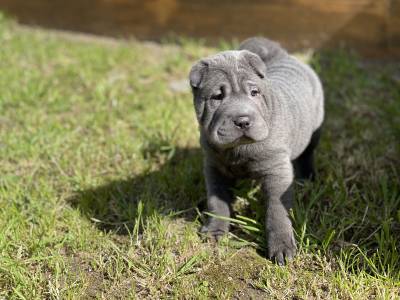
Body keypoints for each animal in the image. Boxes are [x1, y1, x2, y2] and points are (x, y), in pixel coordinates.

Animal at [189, 37, 324, 264]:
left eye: (254, 93)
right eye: (217, 97)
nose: (243, 121)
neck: (239, 149)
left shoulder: (277, 171)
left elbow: (276, 210)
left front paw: (281, 246)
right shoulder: (213, 167)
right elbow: (217, 201)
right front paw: (215, 230)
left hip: (314, 130)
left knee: (307, 154)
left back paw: (307, 177)